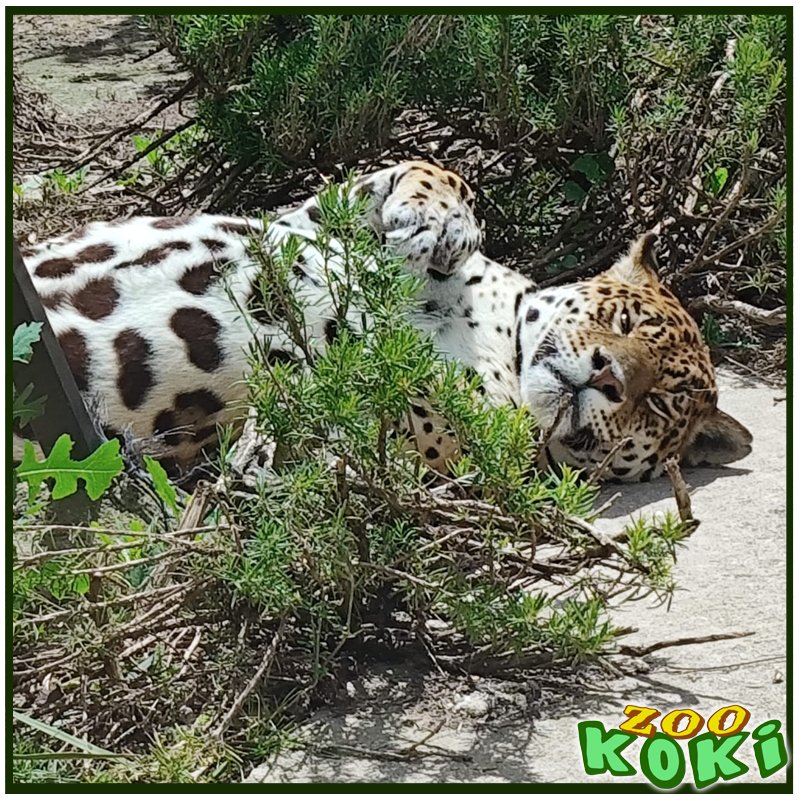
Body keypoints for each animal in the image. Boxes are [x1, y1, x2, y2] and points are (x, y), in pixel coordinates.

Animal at [18, 160, 752, 483]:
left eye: (656, 405)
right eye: (621, 321)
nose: (605, 376)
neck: (494, 328)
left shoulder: (439, 451)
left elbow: (412, 408)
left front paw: (271, 439)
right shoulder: (302, 220)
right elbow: (429, 172)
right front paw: (432, 221)